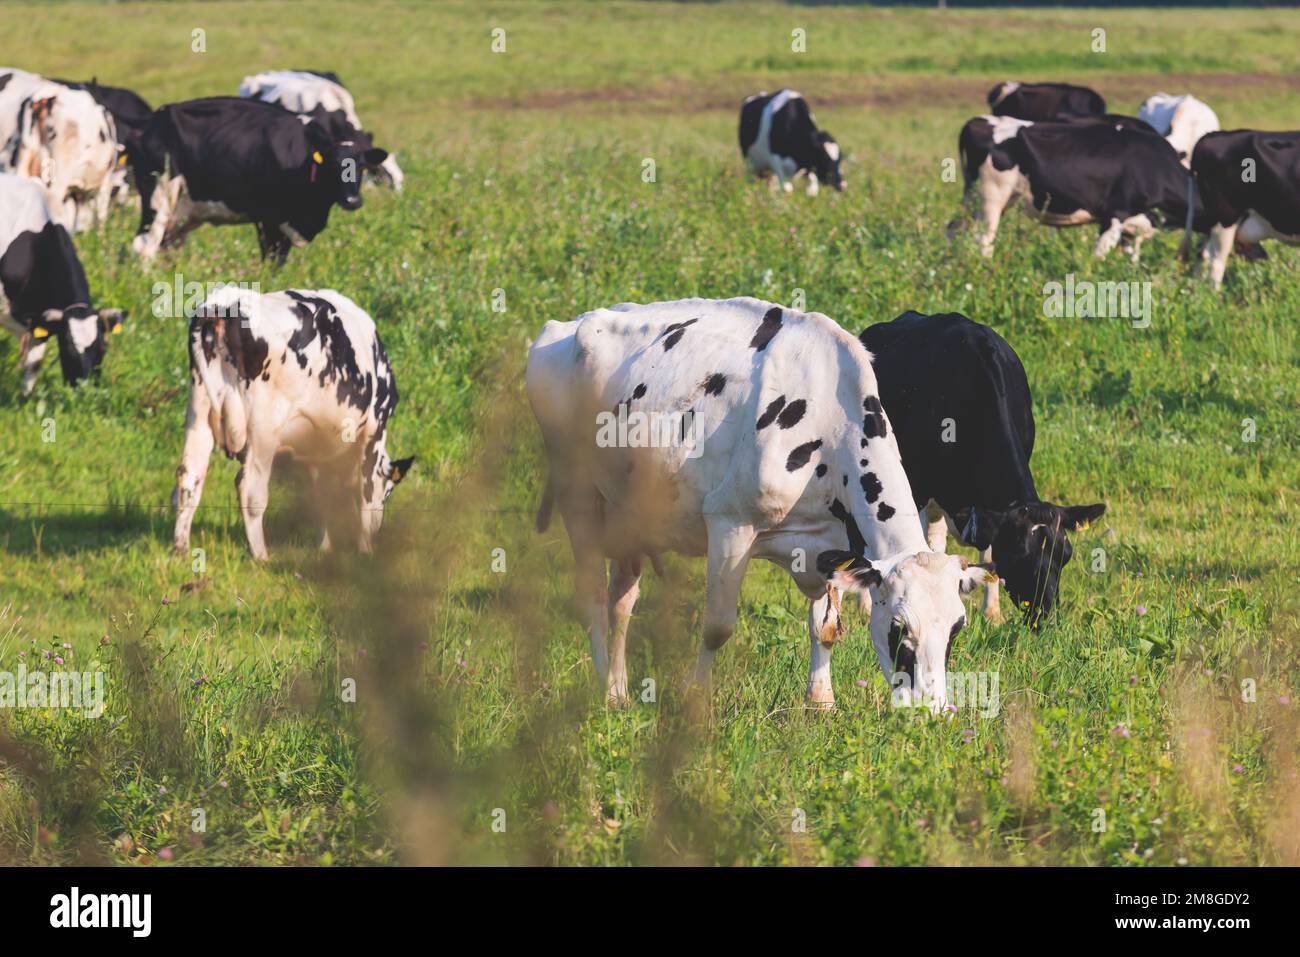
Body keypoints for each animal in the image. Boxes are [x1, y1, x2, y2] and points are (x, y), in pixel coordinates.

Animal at [131, 97, 389, 263]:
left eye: (362, 167)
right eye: (333, 166)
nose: (352, 201)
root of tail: (150, 121)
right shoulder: (269, 220)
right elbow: (272, 262)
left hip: (184, 210)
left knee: (167, 246)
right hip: (159, 195)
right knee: (144, 246)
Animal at [171, 286, 413, 561]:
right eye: (389, 491)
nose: (378, 532)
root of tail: (223, 304)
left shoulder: (315, 450)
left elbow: (318, 497)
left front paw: (324, 546)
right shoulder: (374, 430)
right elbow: (366, 496)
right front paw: (366, 551)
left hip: (199, 410)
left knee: (189, 477)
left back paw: (181, 550)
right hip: (263, 427)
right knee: (250, 489)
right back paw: (261, 556)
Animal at [527, 298, 992, 712]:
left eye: (957, 628)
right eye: (899, 626)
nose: (930, 710)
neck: (830, 419)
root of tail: (565, 325)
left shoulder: (830, 542)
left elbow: (825, 628)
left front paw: (821, 704)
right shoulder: (730, 521)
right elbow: (717, 627)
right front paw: (697, 700)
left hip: (632, 510)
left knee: (622, 602)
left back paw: (618, 692)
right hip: (575, 488)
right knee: (593, 596)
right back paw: (602, 691)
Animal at [859, 311, 1106, 626]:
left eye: (1066, 555)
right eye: (1019, 556)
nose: (1045, 616)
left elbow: (984, 554)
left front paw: (992, 614)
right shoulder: (917, 487)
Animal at [953, 116, 1194, 259]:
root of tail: (977, 121)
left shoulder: (1134, 226)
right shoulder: (1115, 215)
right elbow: (1099, 257)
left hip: (975, 202)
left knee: (954, 229)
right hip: (991, 199)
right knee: (984, 241)